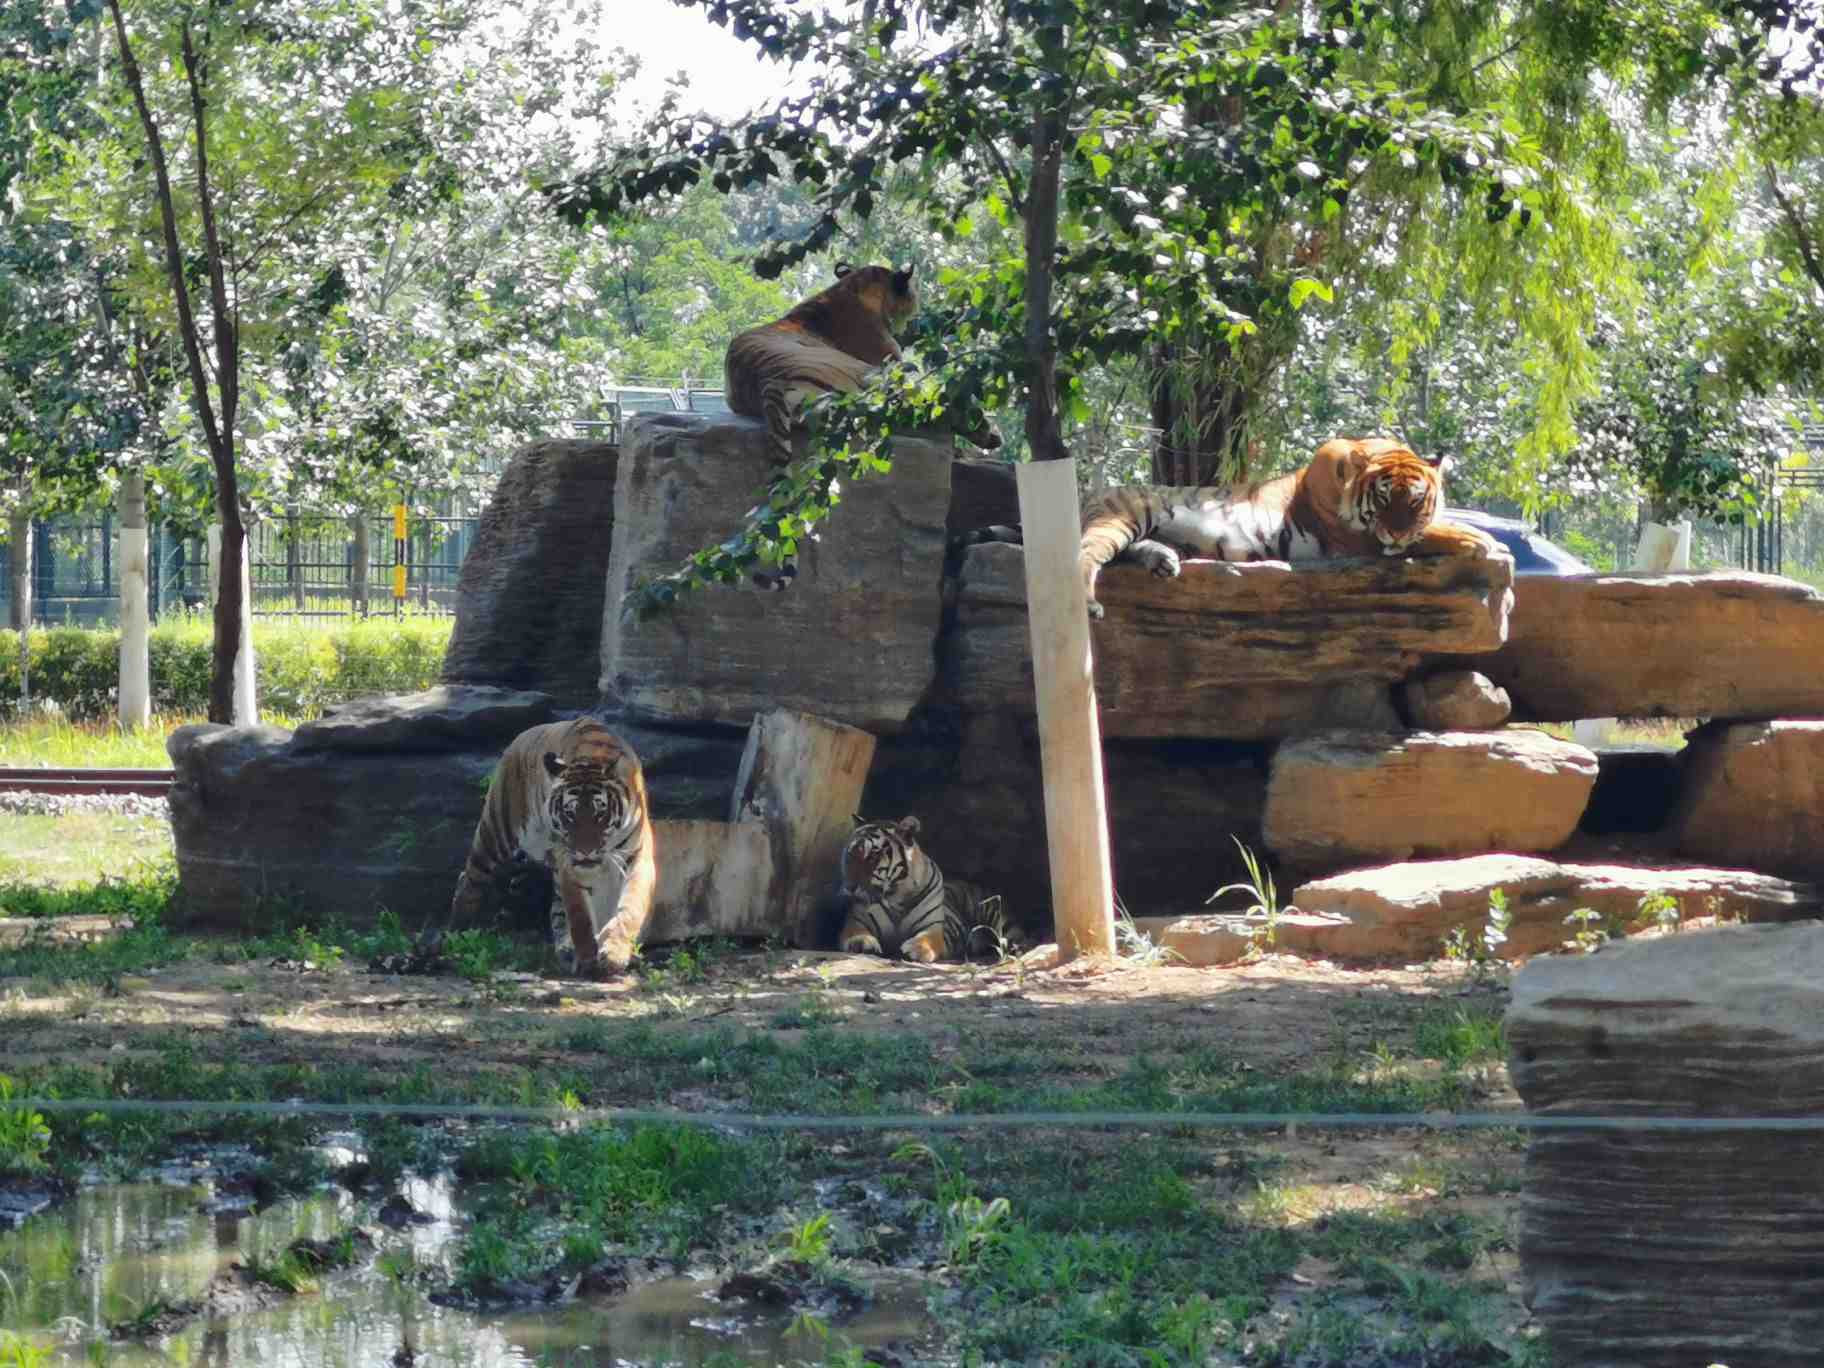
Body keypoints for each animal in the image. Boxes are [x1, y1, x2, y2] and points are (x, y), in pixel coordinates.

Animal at [417, 722, 660, 977]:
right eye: (569, 813)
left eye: (600, 813)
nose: (584, 852)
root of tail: (522, 736)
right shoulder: (570, 865)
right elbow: (580, 916)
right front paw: (587, 959)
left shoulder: (638, 858)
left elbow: (629, 909)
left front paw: (614, 954)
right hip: (496, 834)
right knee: (469, 880)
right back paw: (456, 934)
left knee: (556, 909)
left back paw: (565, 950)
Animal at [718, 262, 999, 590]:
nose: (916, 305)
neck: (854, 285)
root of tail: (767, 381)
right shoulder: (894, 367)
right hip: (868, 378)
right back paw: (987, 437)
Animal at [839, 813, 1014, 963]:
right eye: (850, 854)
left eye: (873, 856)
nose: (849, 887)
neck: (896, 896)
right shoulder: (857, 919)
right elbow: (855, 931)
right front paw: (861, 942)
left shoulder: (933, 927)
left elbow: (927, 939)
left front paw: (916, 948)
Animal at [955, 435, 1495, 620]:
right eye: (1383, 501)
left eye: (1415, 502)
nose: (1397, 533)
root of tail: (1089, 494)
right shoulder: (1353, 538)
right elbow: (1437, 534)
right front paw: (1480, 539)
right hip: (1122, 514)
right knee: (1086, 553)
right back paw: (1090, 602)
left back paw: (1164, 561)